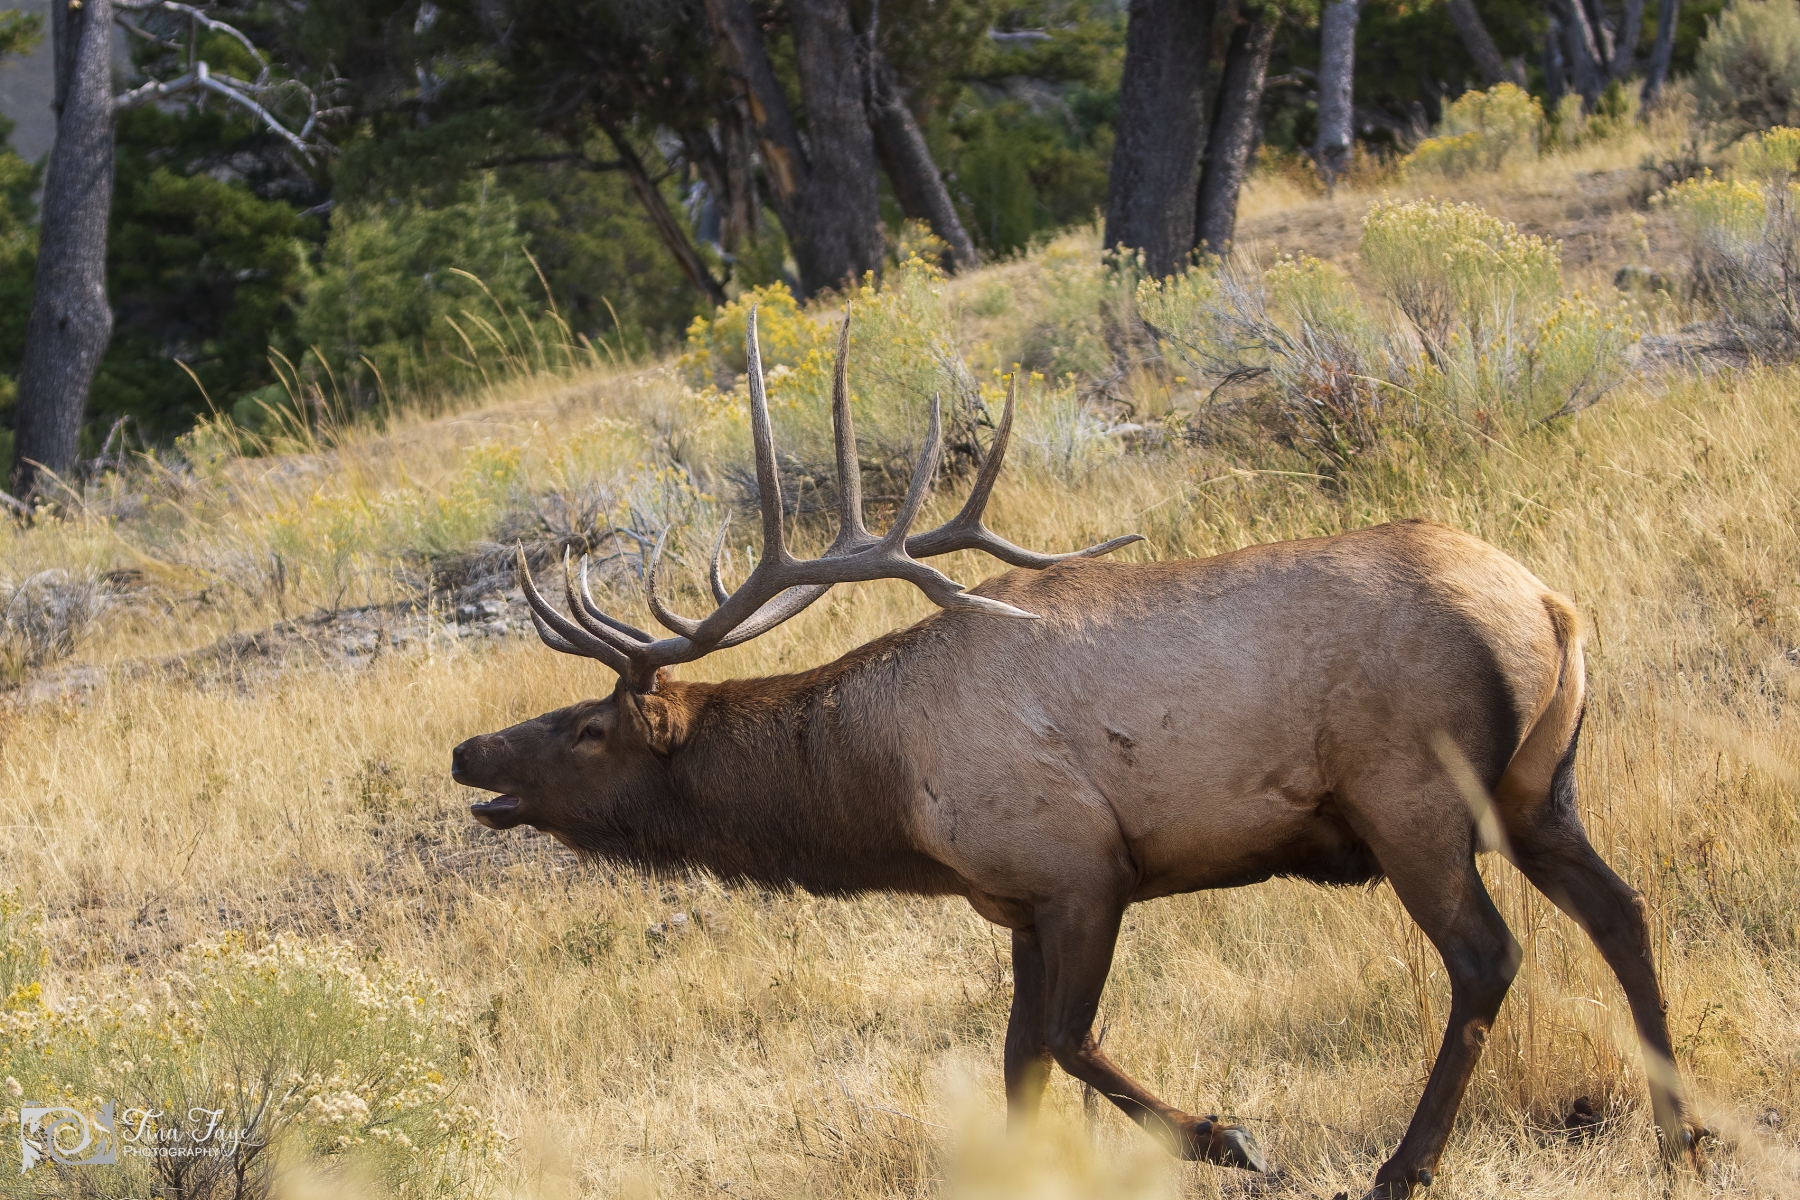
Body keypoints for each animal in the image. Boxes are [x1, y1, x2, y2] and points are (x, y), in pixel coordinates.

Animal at [451, 311, 1703, 1198]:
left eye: (587, 729)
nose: (468, 752)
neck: (884, 796)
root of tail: (1552, 608)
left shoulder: (1082, 864)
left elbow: (1067, 1036)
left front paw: (1229, 1135)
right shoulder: (1013, 902)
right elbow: (1020, 1064)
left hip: (1413, 797)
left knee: (1487, 956)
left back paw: (1408, 1166)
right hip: (1539, 789)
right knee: (1623, 909)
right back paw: (1679, 1136)